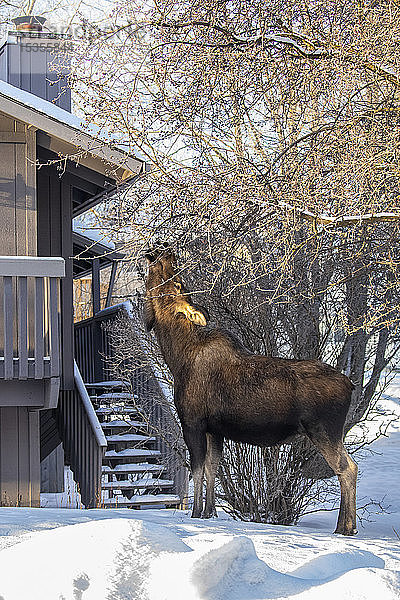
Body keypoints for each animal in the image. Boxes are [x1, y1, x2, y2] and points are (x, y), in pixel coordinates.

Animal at [145, 246, 358, 536]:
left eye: (177, 283)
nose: (165, 250)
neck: (177, 357)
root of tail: (351, 385)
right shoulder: (215, 429)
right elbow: (212, 469)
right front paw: (210, 513)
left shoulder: (193, 421)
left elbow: (197, 470)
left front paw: (196, 513)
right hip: (330, 432)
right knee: (350, 466)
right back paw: (345, 525)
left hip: (324, 430)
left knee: (347, 468)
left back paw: (345, 528)